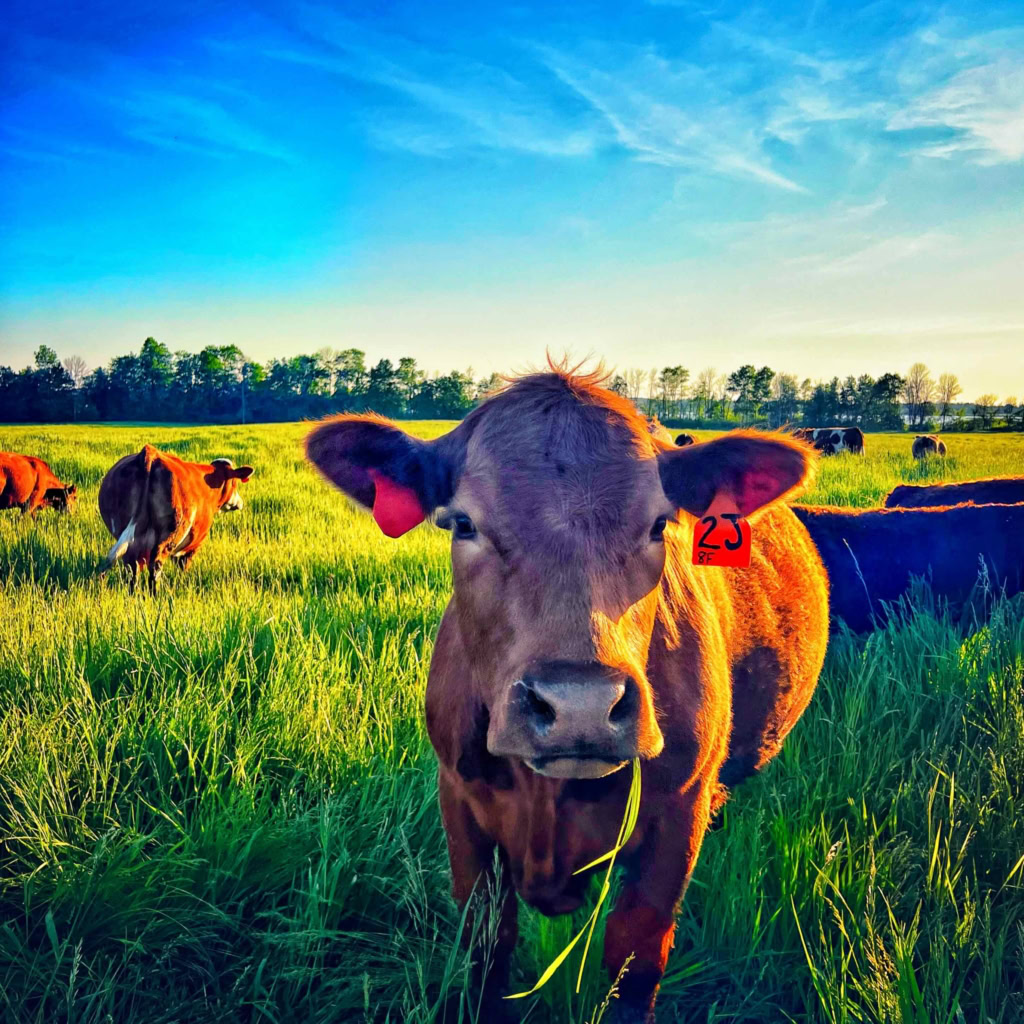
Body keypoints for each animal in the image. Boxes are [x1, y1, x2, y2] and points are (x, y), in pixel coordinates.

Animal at [99, 445, 253, 594]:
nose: (240, 502)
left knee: (132, 568)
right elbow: (183, 567)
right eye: (235, 483)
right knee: (155, 566)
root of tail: (150, 453)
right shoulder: (194, 545)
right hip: (169, 535)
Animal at [305, 368, 829, 1022]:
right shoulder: (461, 804)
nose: (580, 706)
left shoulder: (674, 820)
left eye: (660, 524)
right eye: (463, 523)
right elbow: (486, 946)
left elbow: (634, 961)